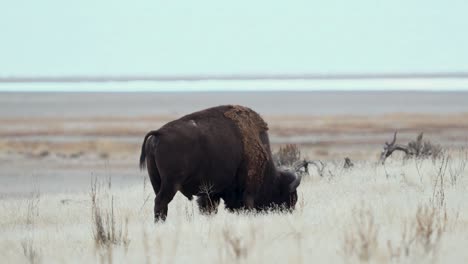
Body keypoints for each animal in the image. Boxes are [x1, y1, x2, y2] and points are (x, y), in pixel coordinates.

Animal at [139, 104, 302, 222]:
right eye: (288, 196)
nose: (290, 211)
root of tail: (159, 133)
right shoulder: (248, 191)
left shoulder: (211, 193)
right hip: (171, 183)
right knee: (161, 202)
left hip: (157, 181)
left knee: (161, 204)